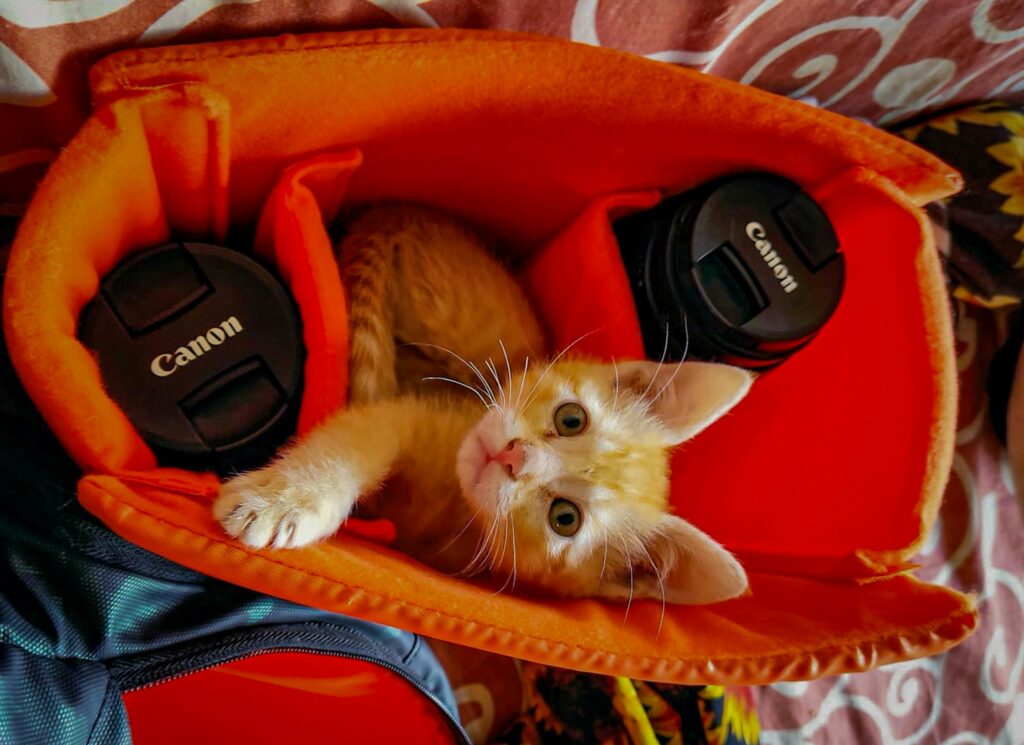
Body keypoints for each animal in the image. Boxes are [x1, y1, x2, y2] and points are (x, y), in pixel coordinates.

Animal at [211, 203, 753, 605]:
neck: (452, 502)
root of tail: (406, 211)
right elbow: (352, 443)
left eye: (565, 518)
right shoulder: (410, 413)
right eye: (571, 418)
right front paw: (285, 500)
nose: (514, 456)